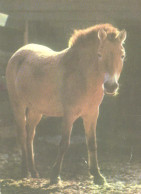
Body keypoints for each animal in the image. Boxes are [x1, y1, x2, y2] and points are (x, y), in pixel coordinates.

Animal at [6, 23, 126, 185]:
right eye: (99, 54)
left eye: (122, 55)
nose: (111, 86)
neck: (82, 75)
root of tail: (17, 53)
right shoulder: (69, 115)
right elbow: (64, 143)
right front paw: (55, 175)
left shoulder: (92, 114)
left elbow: (92, 143)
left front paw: (97, 175)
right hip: (18, 105)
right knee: (22, 135)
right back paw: (25, 170)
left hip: (36, 110)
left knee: (30, 136)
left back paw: (33, 171)